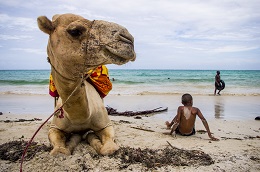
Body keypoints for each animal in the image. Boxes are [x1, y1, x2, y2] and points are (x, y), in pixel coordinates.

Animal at [38, 13, 136, 156]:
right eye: (74, 31)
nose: (128, 39)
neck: (80, 119)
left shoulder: (106, 124)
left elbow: (108, 148)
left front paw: (89, 136)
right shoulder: (55, 127)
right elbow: (59, 151)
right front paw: (71, 141)